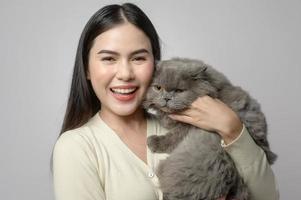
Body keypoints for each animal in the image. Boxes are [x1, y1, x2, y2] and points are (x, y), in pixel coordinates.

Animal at [143, 57, 276, 200]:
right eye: (158, 88)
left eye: (179, 91)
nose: (166, 98)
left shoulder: (190, 126)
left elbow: (173, 137)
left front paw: (154, 142)